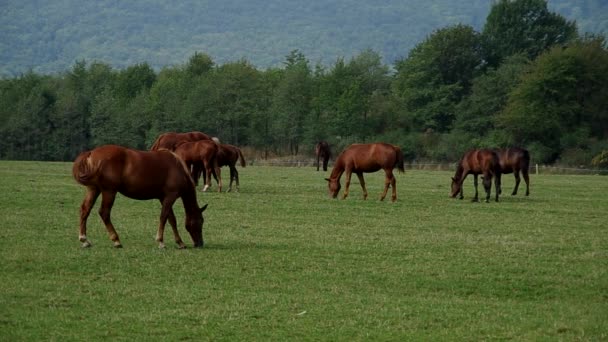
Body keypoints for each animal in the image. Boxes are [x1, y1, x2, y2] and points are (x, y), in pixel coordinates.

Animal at [72, 144, 207, 248]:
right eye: (201, 221)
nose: (200, 243)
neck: (177, 167)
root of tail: (91, 153)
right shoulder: (170, 197)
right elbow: (164, 217)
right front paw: (161, 241)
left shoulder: (163, 198)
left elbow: (171, 219)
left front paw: (179, 242)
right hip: (109, 191)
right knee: (104, 212)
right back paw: (116, 240)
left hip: (94, 189)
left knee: (85, 210)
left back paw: (84, 239)